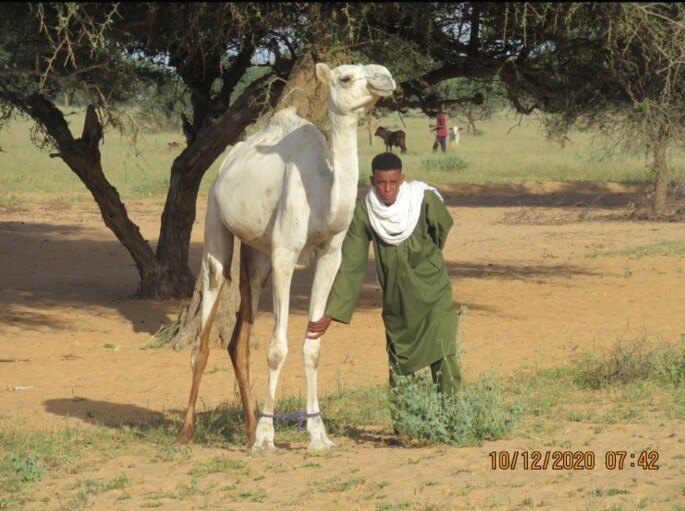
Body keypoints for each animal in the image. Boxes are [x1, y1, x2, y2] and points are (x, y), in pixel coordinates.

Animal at [176, 62, 396, 450]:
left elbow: (313, 348)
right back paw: (189, 432)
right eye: (345, 78)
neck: (322, 194)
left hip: (256, 253)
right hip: (216, 217)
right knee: (204, 330)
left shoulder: (330, 256)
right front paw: (267, 438)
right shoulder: (285, 254)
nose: (386, 78)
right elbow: (277, 349)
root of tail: (229, 160)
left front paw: (318, 434)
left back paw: (249, 429)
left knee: (239, 339)